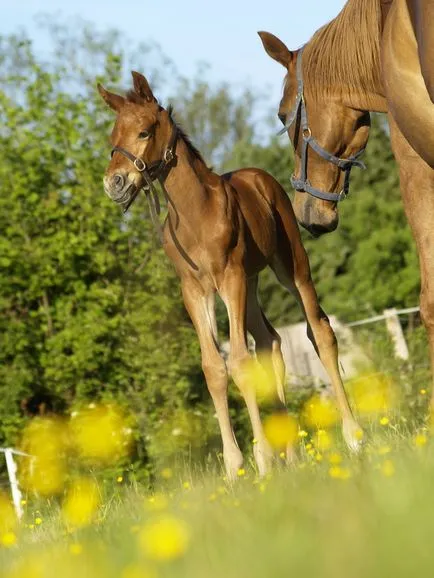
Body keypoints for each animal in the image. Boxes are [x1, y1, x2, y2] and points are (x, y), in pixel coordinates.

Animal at [96, 72, 362, 476]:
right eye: (113, 136)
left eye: (143, 132)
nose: (115, 184)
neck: (196, 214)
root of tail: (261, 178)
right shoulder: (195, 290)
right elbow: (213, 368)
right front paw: (235, 466)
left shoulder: (229, 278)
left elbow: (239, 361)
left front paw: (262, 459)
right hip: (251, 285)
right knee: (270, 342)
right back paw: (293, 455)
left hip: (289, 266)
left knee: (319, 331)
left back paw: (352, 435)